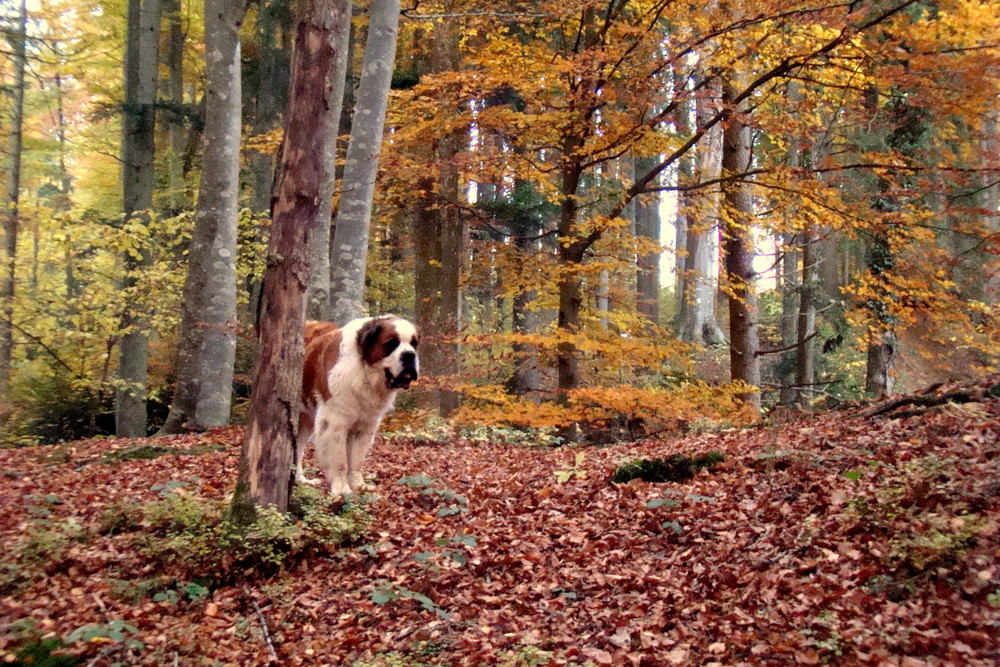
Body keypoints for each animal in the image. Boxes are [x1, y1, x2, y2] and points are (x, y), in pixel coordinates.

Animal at [298, 318, 420, 496]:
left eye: (414, 344)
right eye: (392, 343)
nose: (410, 355)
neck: (365, 373)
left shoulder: (365, 426)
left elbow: (356, 460)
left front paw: (359, 487)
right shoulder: (336, 422)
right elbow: (340, 460)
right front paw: (342, 489)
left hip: (306, 419)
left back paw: (300, 479)